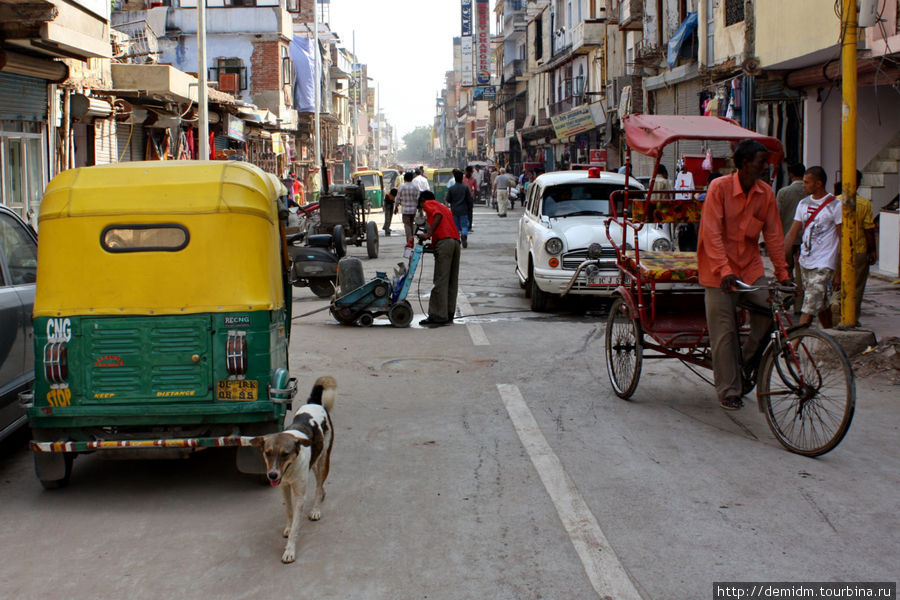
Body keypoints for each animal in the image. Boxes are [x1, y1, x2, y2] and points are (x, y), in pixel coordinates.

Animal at [251, 376, 336, 564]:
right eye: (267, 453)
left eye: (285, 454)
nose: (272, 475)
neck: (289, 471)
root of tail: (314, 402)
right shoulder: (284, 487)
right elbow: (289, 512)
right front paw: (289, 528)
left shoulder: (299, 495)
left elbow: (297, 521)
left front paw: (290, 549)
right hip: (314, 462)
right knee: (320, 484)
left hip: (323, 460)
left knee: (319, 484)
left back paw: (316, 509)